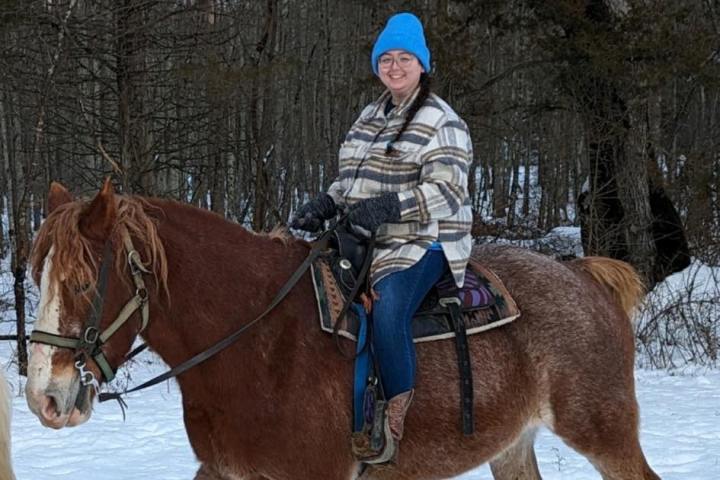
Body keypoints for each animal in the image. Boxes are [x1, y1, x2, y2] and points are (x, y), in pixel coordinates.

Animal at [24, 179, 661, 480]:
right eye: (37, 276)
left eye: (84, 283)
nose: (44, 398)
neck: (257, 345)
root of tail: (584, 277)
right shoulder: (226, 469)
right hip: (511, 445)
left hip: (604, 431)